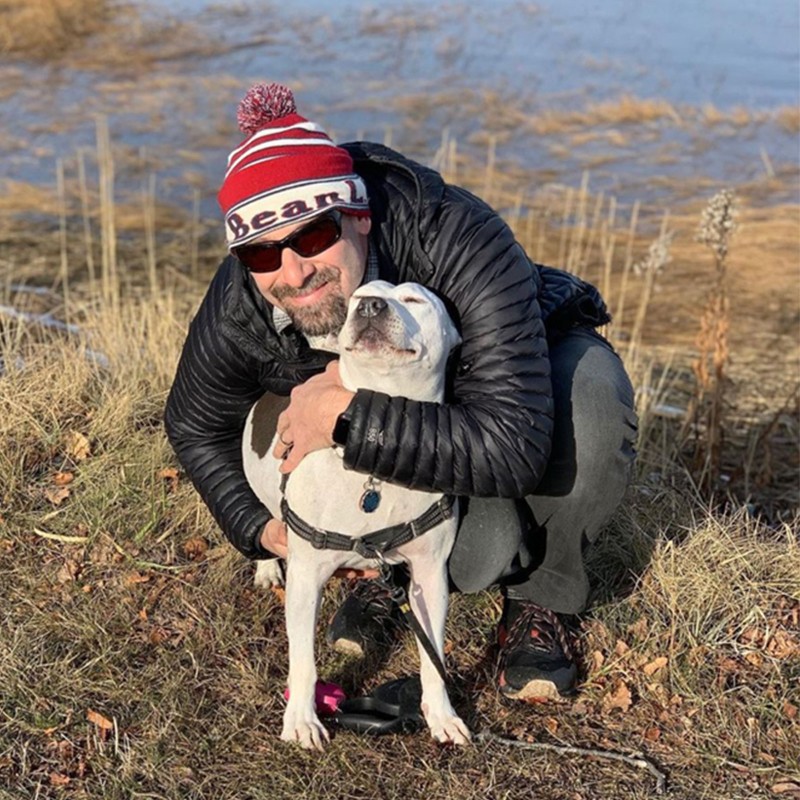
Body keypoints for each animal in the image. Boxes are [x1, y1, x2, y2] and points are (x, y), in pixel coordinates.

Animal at [241, 280, 472, 752]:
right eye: (358, 297)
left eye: (415, 299)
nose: (370, 306)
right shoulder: (306, 577)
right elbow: (303, 659)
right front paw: (301, 720)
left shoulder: (429, 575)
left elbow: (432, 654)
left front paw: (441, 714)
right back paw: (266, 568)